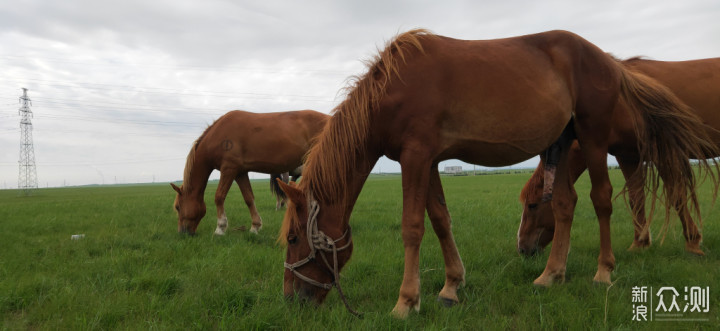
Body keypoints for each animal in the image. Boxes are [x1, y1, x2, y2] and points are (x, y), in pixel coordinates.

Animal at [172, 110, 330, 235]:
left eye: (178, 207)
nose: (182, 232)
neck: (217, 136)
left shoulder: (229, 169)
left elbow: (219, 197)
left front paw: (220, 228)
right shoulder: (240, 172)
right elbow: (248, 198)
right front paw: (255, 226)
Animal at [516, 57, 720, 256]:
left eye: (532, 205)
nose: (522, 248)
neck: (621, 103)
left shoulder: (662, 153)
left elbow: (676, 194)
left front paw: (693, 241)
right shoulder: (628, 156)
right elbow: (636, 197)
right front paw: (639, 243)